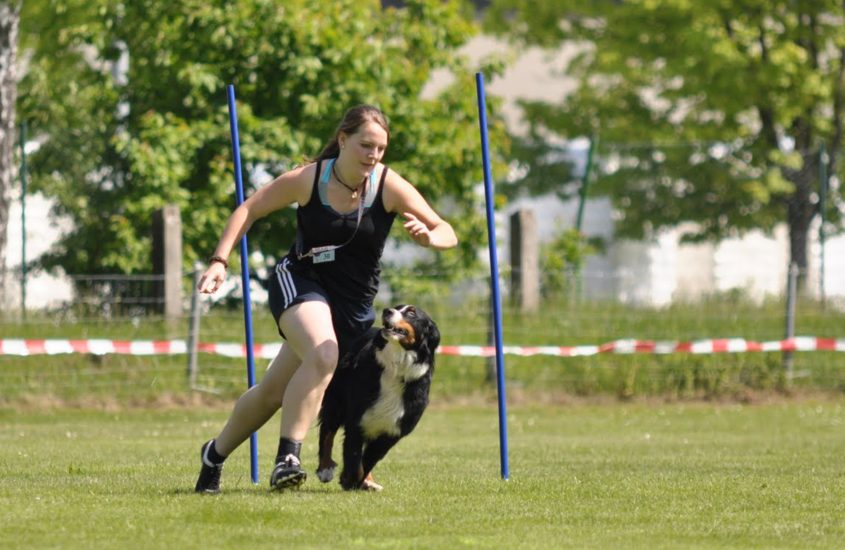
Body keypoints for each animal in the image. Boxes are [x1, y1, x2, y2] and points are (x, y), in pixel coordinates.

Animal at [314, 306, 438, 492]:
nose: (387, 310)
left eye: (411, 313)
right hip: (336, 401)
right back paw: (325, 468)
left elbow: (368, 460)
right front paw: (349, 480)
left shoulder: (392, 432)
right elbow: (355, 458)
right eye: (398, 307)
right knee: (327, 433)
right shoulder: (358, 421)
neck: (396, 370)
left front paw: (355, 481)